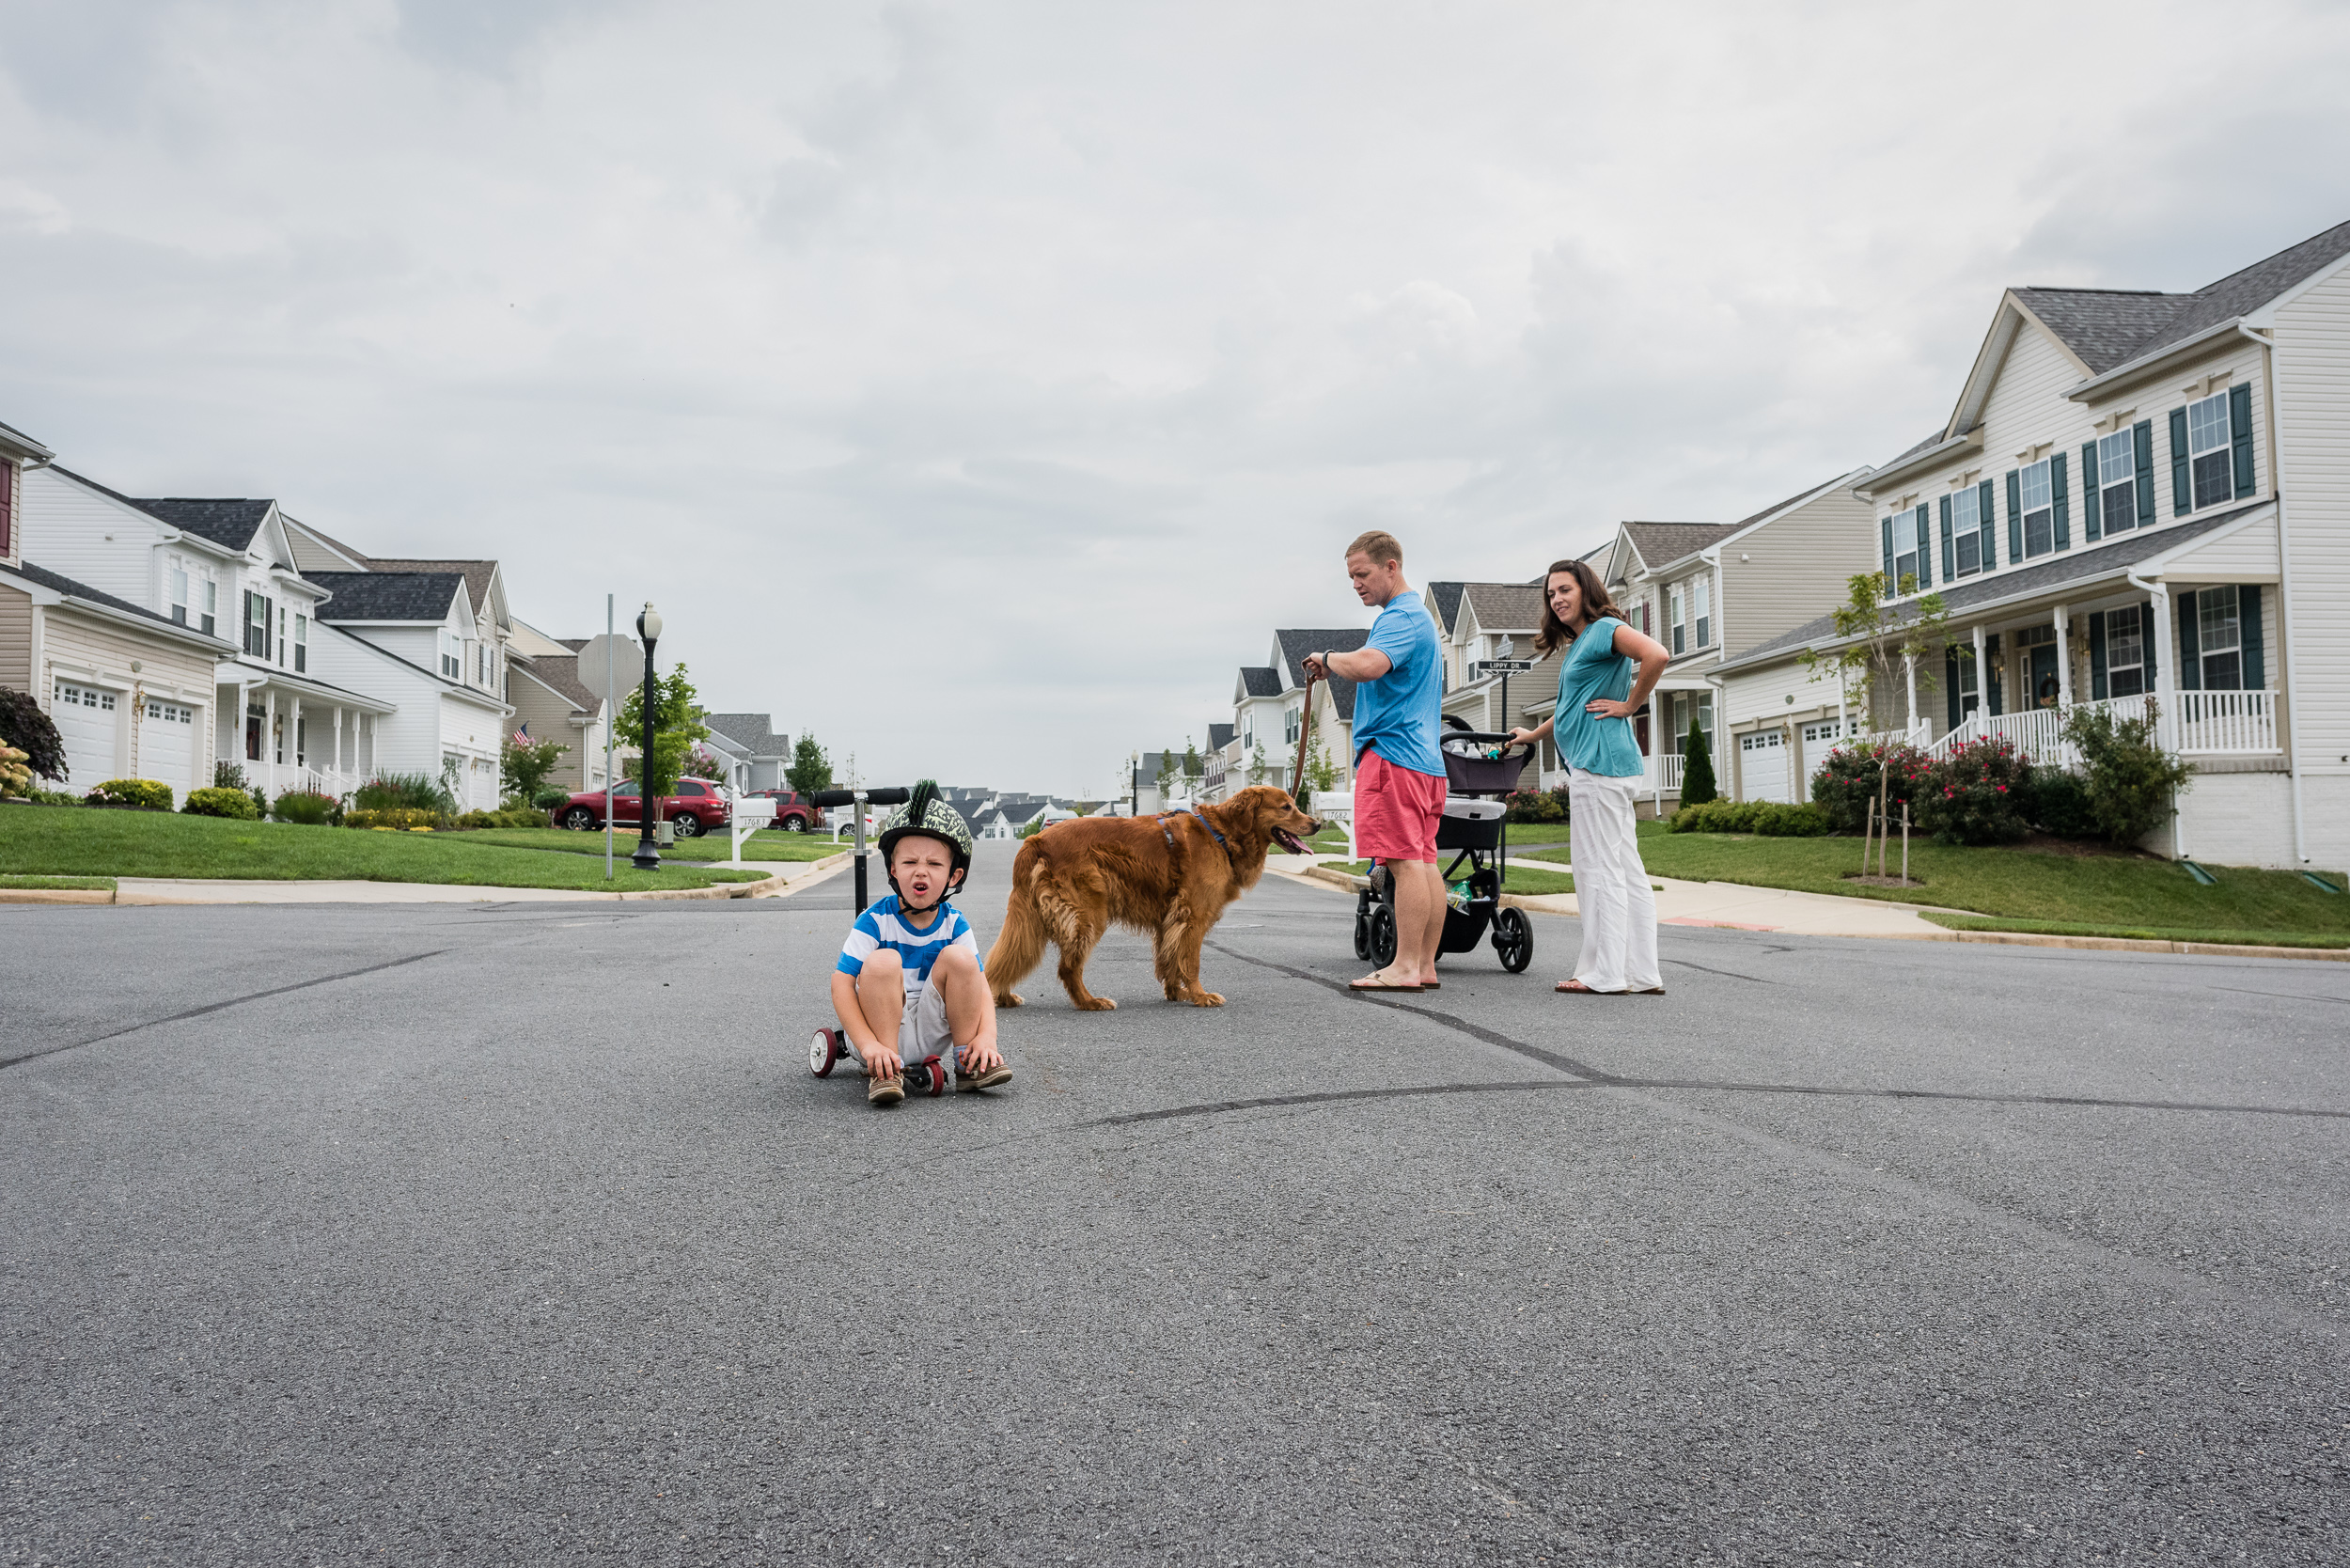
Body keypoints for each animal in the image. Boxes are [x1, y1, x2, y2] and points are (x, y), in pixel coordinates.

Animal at [982, 785, 1325, 1020]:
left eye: (1295, 806)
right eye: (1286, 807)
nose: (1318, 824)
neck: (1222, 834)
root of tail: (1036, 839)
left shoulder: (1171, 917)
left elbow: (1169, 958)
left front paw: (1177, 993)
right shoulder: (1193, 915)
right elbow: (1190, 960)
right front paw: (1200, 995)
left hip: (1032, 918)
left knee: (1008, 955)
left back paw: (1002, 996)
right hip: (1088, 914)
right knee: (1068, 967)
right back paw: (1089, 1002)